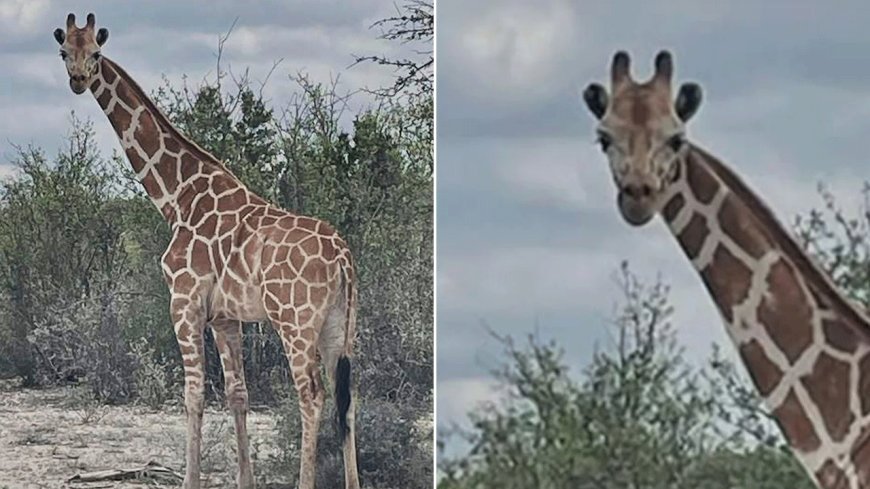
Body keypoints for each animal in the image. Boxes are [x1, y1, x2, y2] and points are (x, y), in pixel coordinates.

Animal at [53, 13, 360, 489]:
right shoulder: (225, 317)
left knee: (311, 394)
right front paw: (244, 480)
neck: (177, 197)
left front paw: (190, 479)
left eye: (97, 53)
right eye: (64, 50)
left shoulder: (184, 301)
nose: (78, 80)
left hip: (295, 321)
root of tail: (344, 259)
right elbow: (237, 394)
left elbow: (193, 394)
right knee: (349, 397)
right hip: (339, 325)